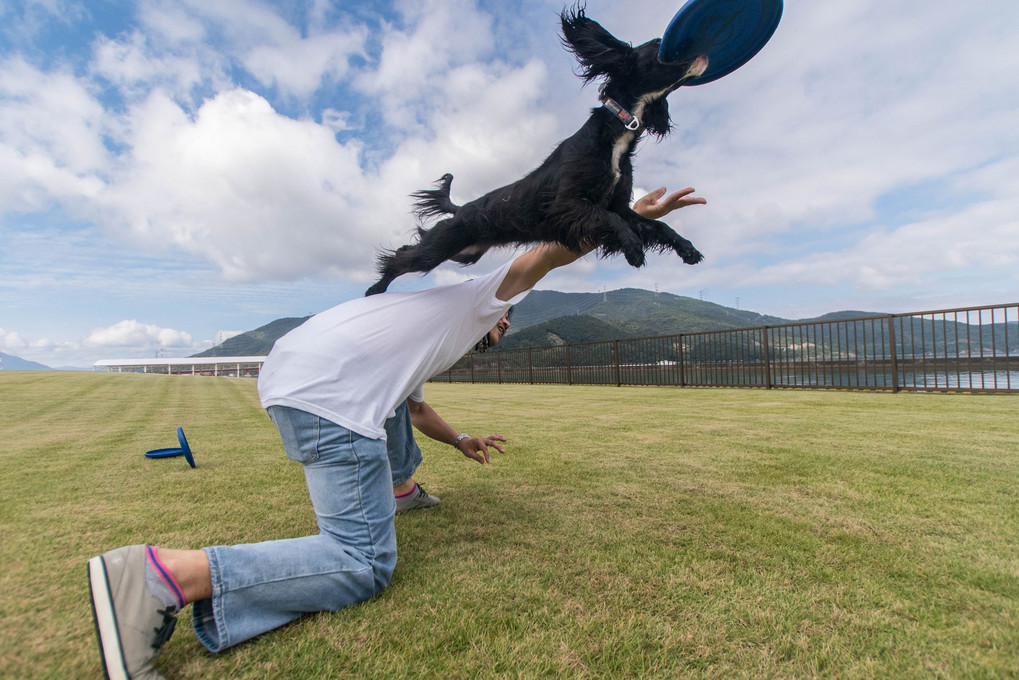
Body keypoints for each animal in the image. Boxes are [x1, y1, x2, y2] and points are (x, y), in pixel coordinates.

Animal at [366, 4, 709, 297]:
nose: (703, 51)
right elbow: (610, 219)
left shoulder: (619, 205)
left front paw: (686, 248)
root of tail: (460, 209)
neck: (617, 135)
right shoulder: (567, 205)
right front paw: (633, 248)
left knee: (409, 251)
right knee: (402, 257)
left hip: (465, 253)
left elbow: (655, 224)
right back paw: (375, 289)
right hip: (440, 246)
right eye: (660, 46)